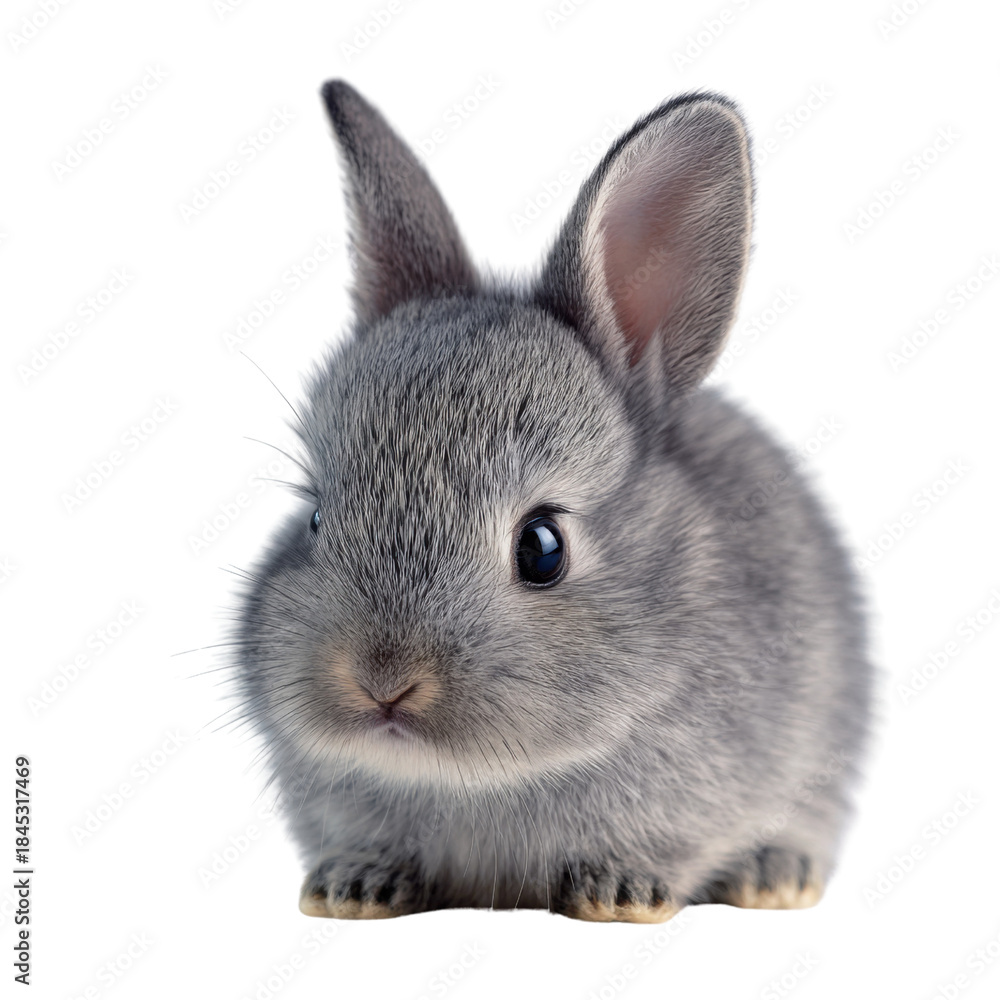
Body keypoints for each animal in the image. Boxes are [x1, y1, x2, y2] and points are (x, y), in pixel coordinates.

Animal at [232, 79, 872, 923]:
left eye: (542, 547)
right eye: (314, 516)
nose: (380, 681)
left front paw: (620, 894)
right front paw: (352, 889)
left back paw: (775, 878)